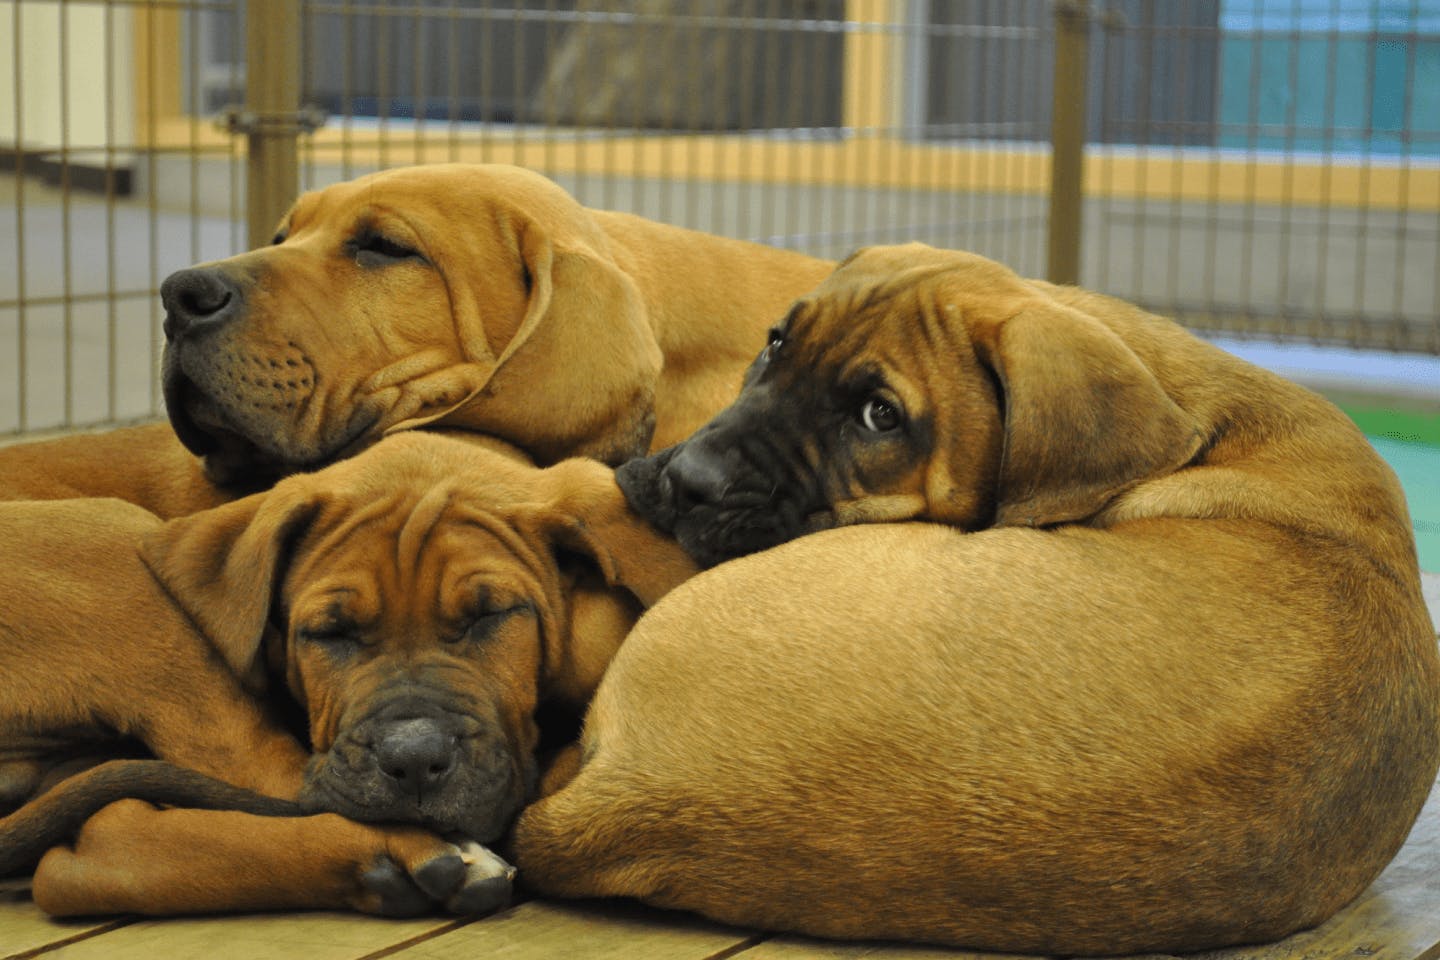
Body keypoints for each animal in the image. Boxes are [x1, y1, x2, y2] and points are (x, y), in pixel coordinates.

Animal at [0, 434, 696, 915]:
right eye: (329, 633)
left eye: (490, 616)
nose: (412, 761)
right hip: (125, 567)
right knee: (275, 783)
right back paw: (420, 854)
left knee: (91, 849)